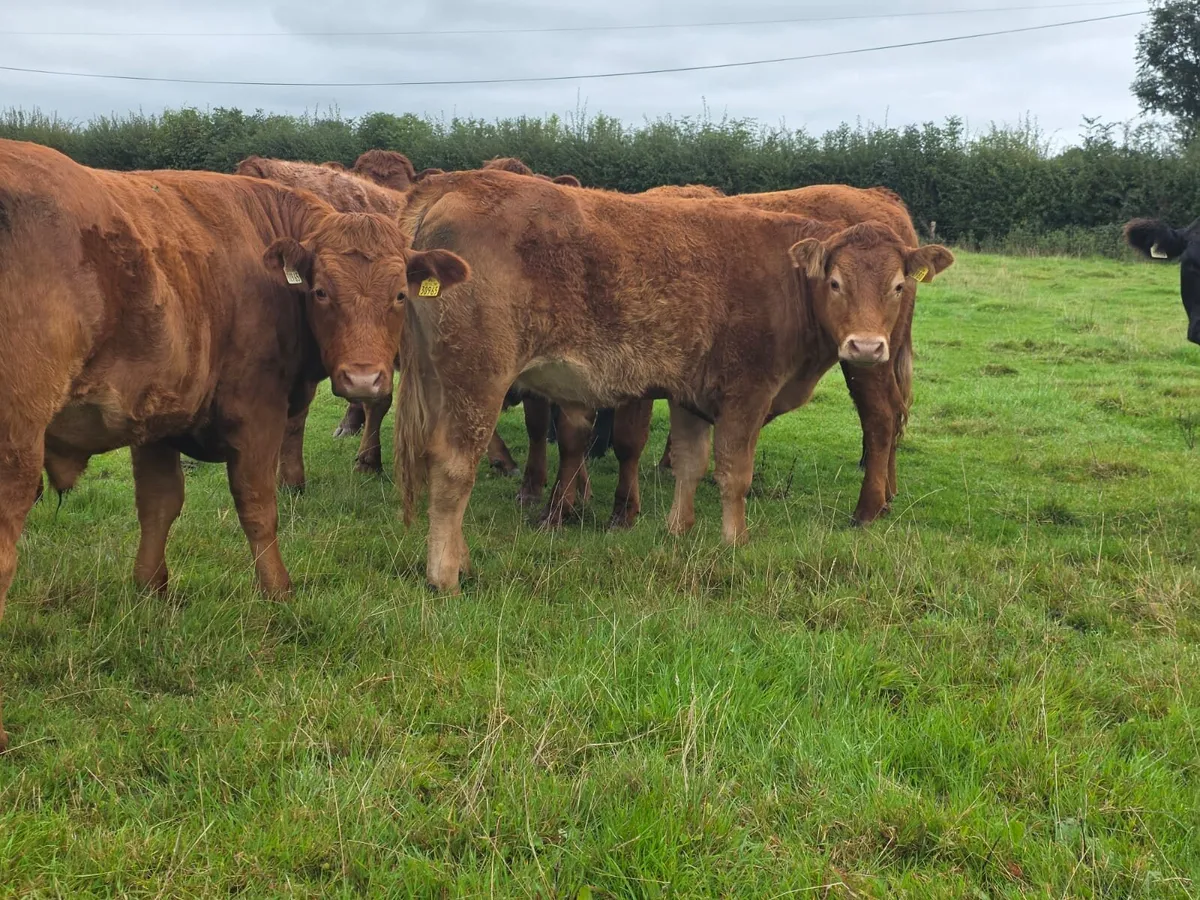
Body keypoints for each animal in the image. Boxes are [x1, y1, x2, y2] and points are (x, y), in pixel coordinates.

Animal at [0, 139, 470, 751]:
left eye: (397, 295)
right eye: (321, 291)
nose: (365, 379)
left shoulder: (156, 416)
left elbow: (159, 505)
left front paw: (151, 589)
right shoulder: (257, 412)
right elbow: (258, 505)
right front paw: (278, 590)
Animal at [390, 170, 952, 592]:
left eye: (896, 285)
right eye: (835, 283)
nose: (865, 345)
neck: (784, 273)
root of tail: (459, 181)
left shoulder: (691, 393)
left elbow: (690, 461)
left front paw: (678, 529)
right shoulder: (747, 391)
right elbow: (734, 471)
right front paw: (735, 540)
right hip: (476, 380)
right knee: (453, 466)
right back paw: (446, 574)